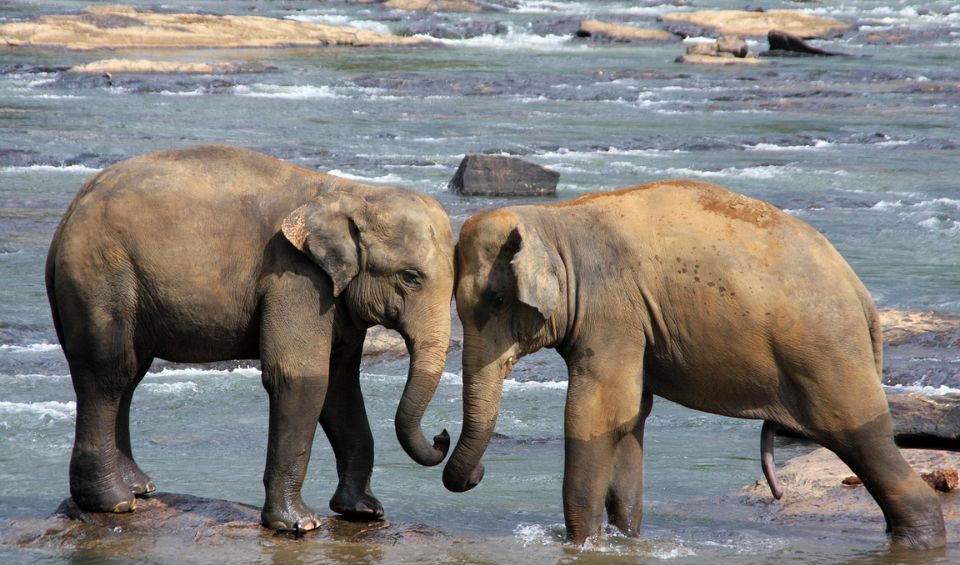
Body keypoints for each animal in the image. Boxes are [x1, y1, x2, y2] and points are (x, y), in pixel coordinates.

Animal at [45, 145, 455, 532]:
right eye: (411, 277)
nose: (442, 436)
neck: (353, 192)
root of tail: (70, 211)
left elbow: (340, 386)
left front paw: (364, 511)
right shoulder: (295, 277)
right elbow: (302, 377)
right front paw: (300, 525)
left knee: (130, 374)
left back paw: (139, 488)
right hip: (101, 274)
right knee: (108, 373)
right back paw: (113, 503)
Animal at [443, 179, 946, 550]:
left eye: (497, 299)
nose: (476, 471)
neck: (552, 220)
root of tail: (860, 292)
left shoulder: (611, 311)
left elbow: (596, 414)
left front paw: (582, 544)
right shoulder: (633, 324)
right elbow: (631, 418)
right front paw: (625, 540)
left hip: (828, 352)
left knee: (861, 436)